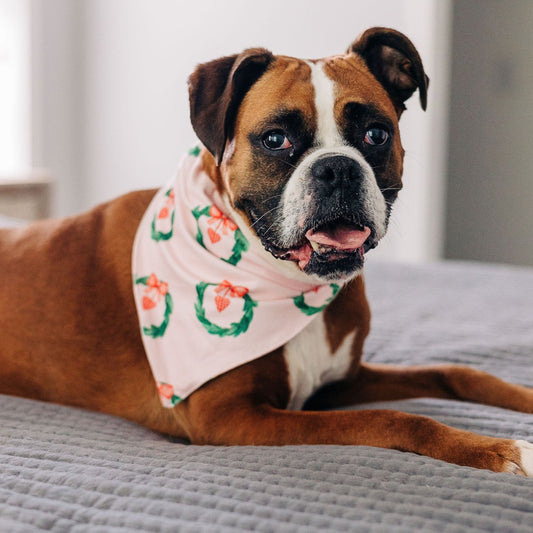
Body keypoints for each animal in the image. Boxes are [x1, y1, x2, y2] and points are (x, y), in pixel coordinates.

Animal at [1, 27, 532, 472]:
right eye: (276, 139)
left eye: (376, 134)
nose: (338, 168)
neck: (289, 284)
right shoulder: (232, 417)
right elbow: (390, 419)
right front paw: (497, 448)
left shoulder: (340, 383)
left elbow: (456, 373)